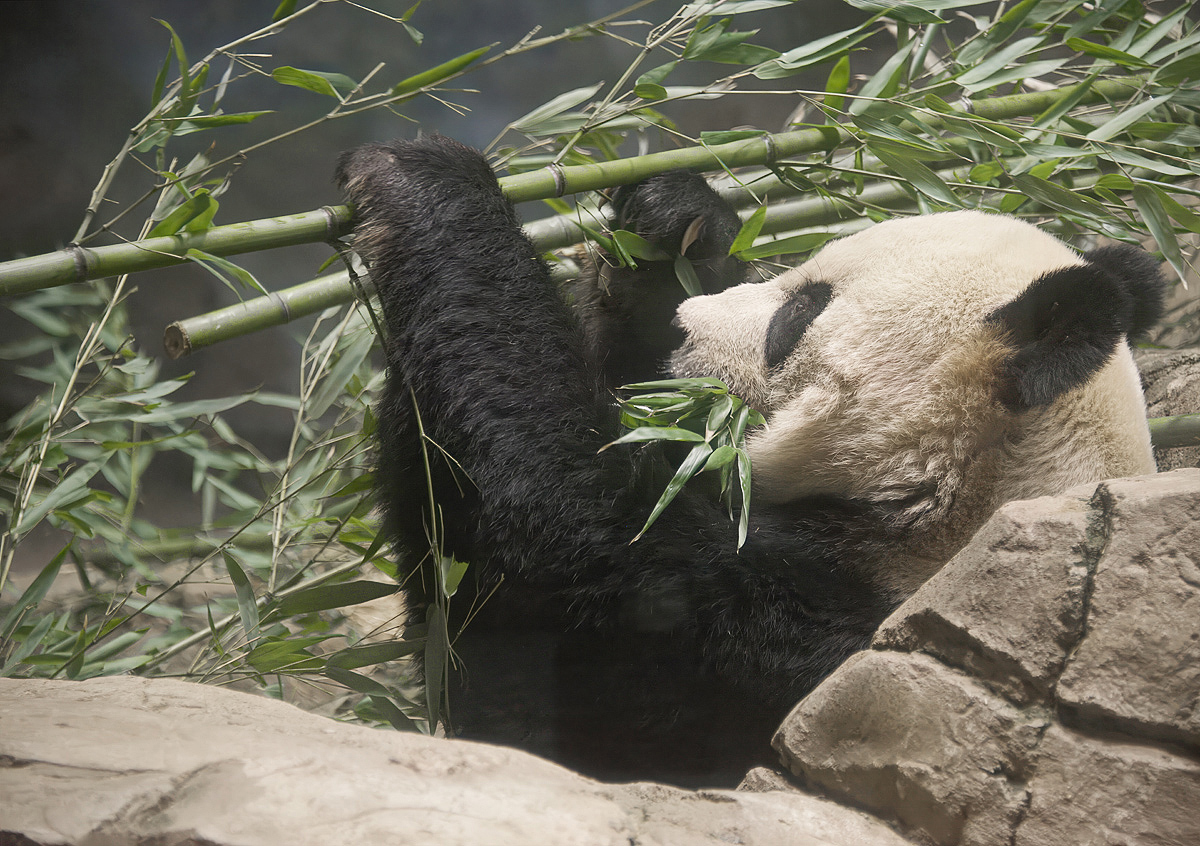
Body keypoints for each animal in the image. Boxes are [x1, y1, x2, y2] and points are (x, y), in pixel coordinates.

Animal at [333, 132, 1166, 787]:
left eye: (798, 314)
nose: (682, 325)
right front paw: (672, 226)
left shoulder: (803, 641)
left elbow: (546, 551)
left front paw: (418, 179)